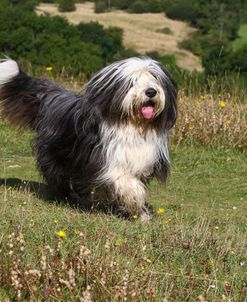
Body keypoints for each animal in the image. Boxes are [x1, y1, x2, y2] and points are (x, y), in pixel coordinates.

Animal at [0, 57, 178, 219]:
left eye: (154, 79)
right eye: (133, 82)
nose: (151, 91)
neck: (133, 126)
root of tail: (54, 96)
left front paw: (140, 214)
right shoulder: (105, 160)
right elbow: (127, 183)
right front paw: (134, 204)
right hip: (56, 154)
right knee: (57, 175)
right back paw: (66, 197)